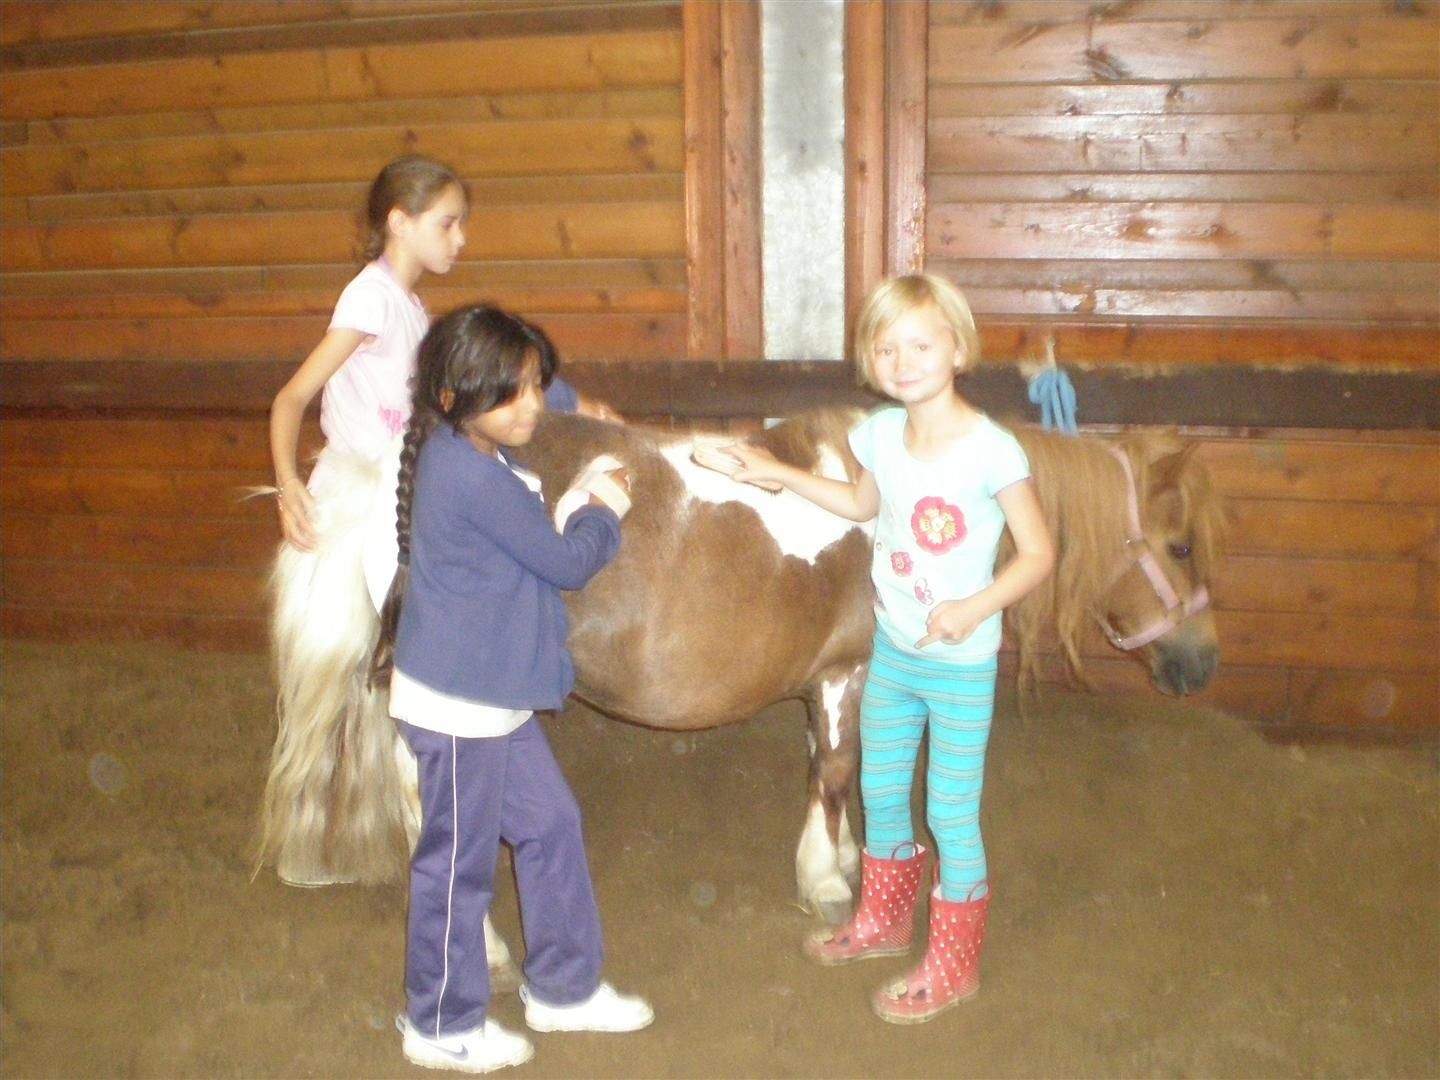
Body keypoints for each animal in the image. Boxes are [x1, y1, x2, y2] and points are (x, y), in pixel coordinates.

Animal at [255, 406, 1226, 969]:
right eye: (1180, 546)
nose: (1204, 660)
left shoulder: (826, 682)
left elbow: (827, 771)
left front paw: (842, 859)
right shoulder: (845, 673)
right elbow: (836, 772)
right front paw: (828, 881)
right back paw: (485, 944)